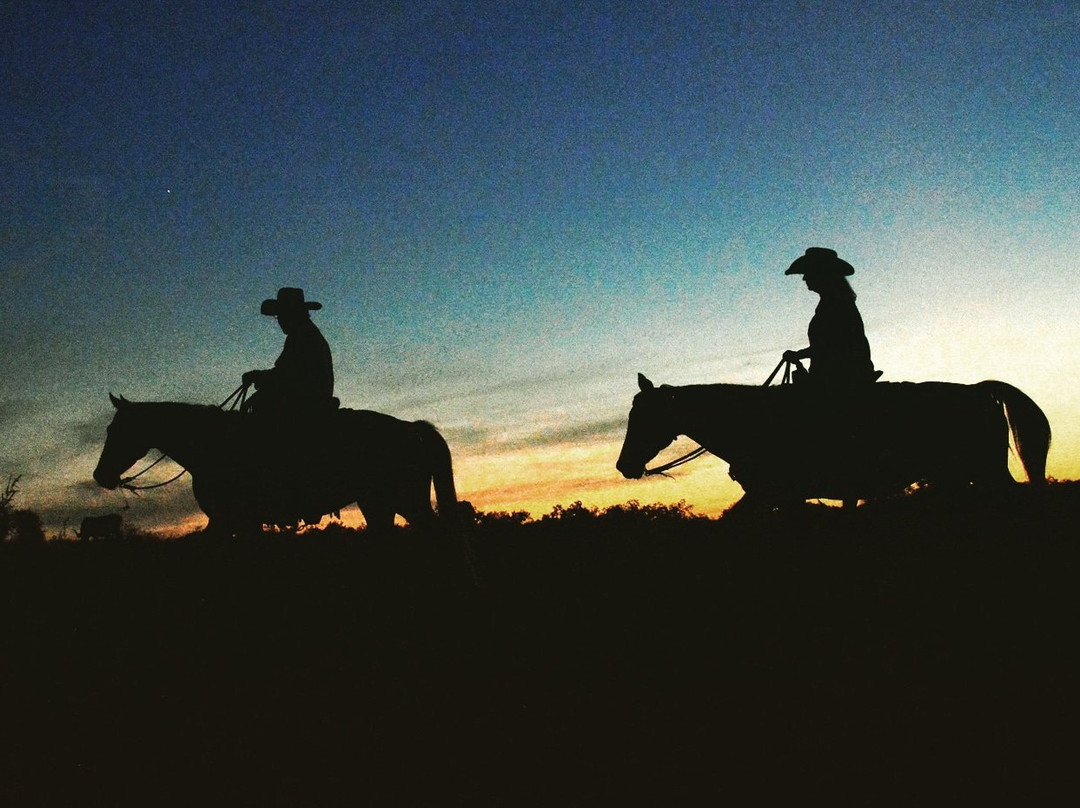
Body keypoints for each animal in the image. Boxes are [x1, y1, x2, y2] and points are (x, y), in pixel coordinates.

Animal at [93, 393, 460, 535]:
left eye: (115, 430)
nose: (100, 476)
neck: (214, 444)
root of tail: (412, 428)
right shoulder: (232, 521)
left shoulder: (231, 519)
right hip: (378, 504)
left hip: (406, 501)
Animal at [622, 375, 1049, 507]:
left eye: (643, 418)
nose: (623, 466)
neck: (754, 423)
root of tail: (979, 390)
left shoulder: (774, 494)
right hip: (958, 476)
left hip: (984, 469)